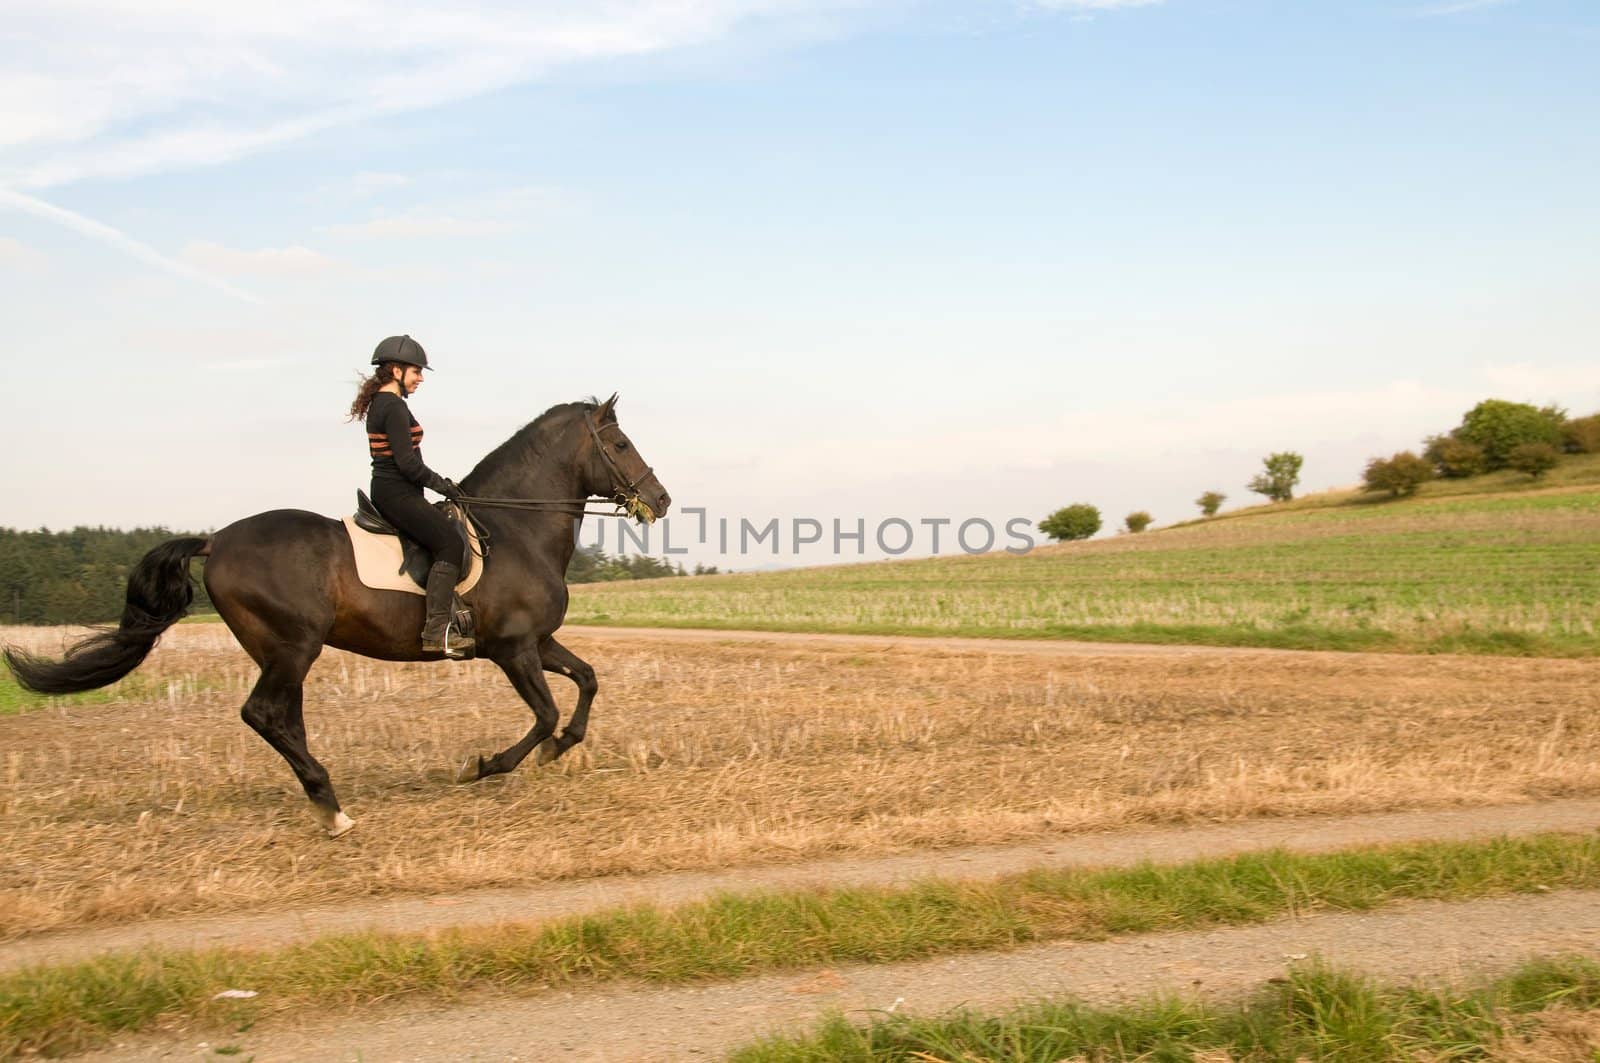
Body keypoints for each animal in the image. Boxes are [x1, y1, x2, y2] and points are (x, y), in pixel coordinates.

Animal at [3, 397, 665, 838]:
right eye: (622, 444)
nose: (660, 501)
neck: (513, 529)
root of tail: (216, 541)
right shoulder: (513, 648)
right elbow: (545, 711)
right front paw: (485, 766)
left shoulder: (538, 642)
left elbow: (586, 681)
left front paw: (560, 748)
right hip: (294, 646)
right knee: (263, 714)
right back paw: (333, 805)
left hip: (282, 652)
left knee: (282, 719)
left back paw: (326, 802)